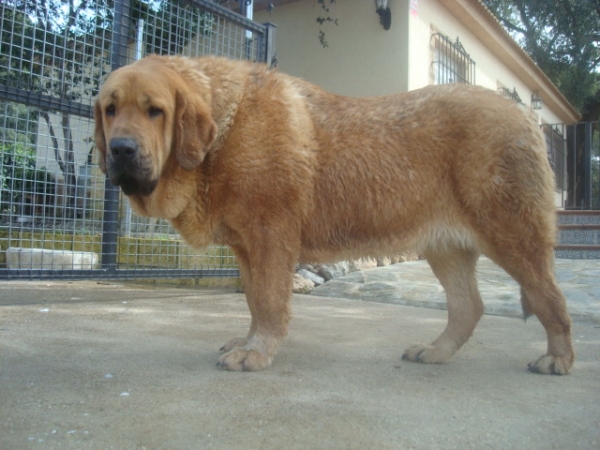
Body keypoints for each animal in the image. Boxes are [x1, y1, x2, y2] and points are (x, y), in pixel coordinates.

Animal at [92, 54, 572, 374]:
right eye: (110, 109)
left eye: (155, 111)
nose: (121, 150)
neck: (221, 133)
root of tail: (524, 113)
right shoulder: (247, 249)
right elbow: (254, 301)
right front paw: (250, 341)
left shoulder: (270, 240)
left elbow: (269, 303)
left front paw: (258, 352)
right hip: (447, 248)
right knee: (468, 307)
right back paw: (435, 352)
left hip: (514, 237)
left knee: (551, 300)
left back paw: (557, 358)